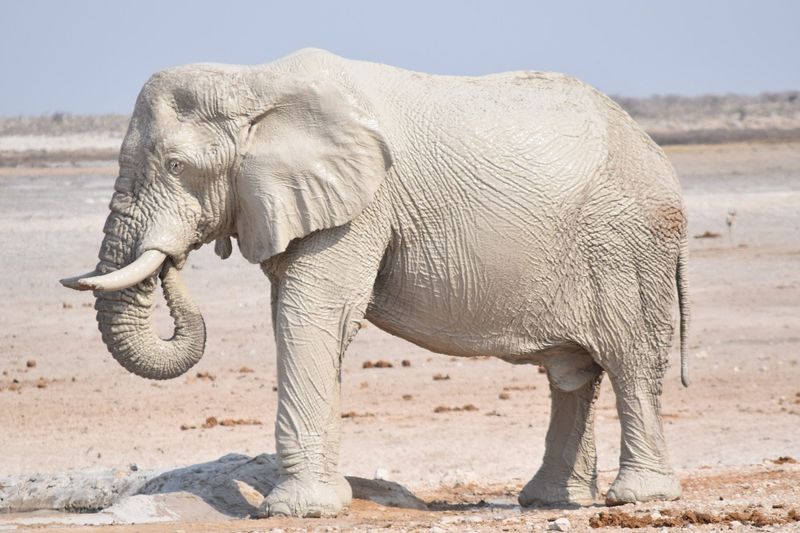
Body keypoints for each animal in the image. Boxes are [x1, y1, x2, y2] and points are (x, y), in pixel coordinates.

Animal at [62, 48, 688, 516]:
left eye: (176, 166)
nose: (175, 261)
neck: (254, 80)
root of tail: (655, 151)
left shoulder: (361, 205)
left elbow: (311, 313)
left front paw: (298, 510)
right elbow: (298, 313)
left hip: (626, 242)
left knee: (629, 361)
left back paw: (634, 498)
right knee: (573, 374)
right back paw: (549, 501)